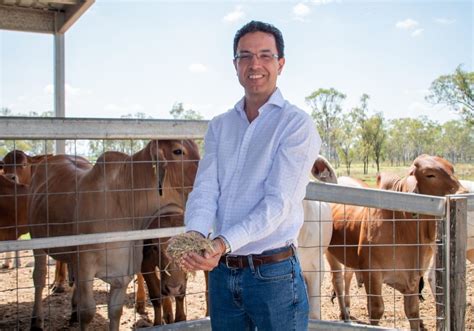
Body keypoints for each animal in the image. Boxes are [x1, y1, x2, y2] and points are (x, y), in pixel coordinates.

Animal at [29, 141, 200, 331]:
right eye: (178, 151)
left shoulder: (124, 272)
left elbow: (115, 311)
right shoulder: (85, 266)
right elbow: (87, 312)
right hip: (37, 241)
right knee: (39, 277)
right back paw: (36, 320)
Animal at [326, 155, 466, 330]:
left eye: (452, 169)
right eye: (430, 175)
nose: (464, 192)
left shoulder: (413, 278)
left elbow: (413, 312)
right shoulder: (372, 272)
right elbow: (376, 309)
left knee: (347, 276)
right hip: (330, 253)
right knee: (337, 280)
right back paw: (344, 315)